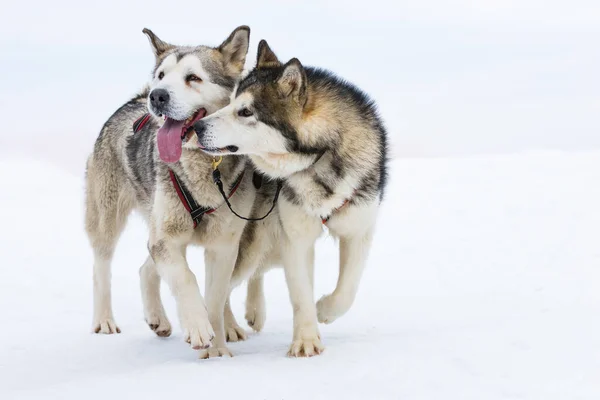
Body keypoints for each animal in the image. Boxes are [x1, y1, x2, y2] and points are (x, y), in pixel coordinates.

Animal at [84, 25, 253, 358]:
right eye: (162, 75)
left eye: (193, 77)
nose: (157, 95)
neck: (205, 166)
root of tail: (134, 100)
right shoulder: (168, 239)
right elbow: (186, 279)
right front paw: (199, 327)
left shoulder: (223, 246)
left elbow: (215, 299)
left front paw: (218, 349)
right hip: (109, 217)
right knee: (102, 267)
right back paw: (105, 319)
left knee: (145, 268)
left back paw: (162, 319)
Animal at [193, 41, 390, 356]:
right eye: (231, 102)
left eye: (245, 111)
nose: (197, 128)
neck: (318, 158)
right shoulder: (295, 238)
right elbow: (300, 294)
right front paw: (307, 340)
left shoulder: (359, 231)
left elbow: (348, 289)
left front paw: (324, 310)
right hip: (250, 244)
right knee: (219, 287)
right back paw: (226, 327)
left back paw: (251, 312)